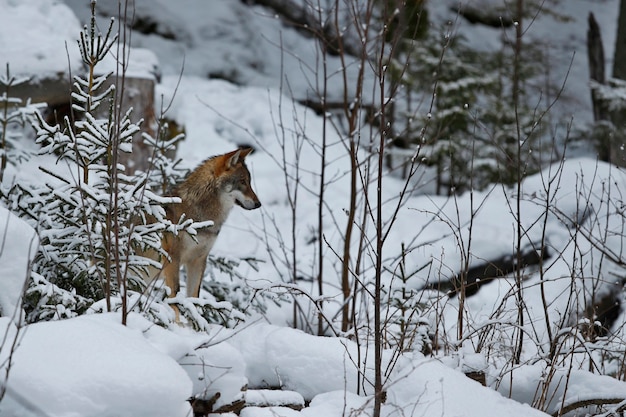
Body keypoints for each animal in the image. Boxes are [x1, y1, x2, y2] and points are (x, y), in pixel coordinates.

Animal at [155, 149, 260, 300]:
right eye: (242, 181)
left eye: (249, 182)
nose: (259, 204)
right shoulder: (172, 258)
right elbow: (175, 296)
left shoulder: (198, 260)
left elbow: (194, 296)